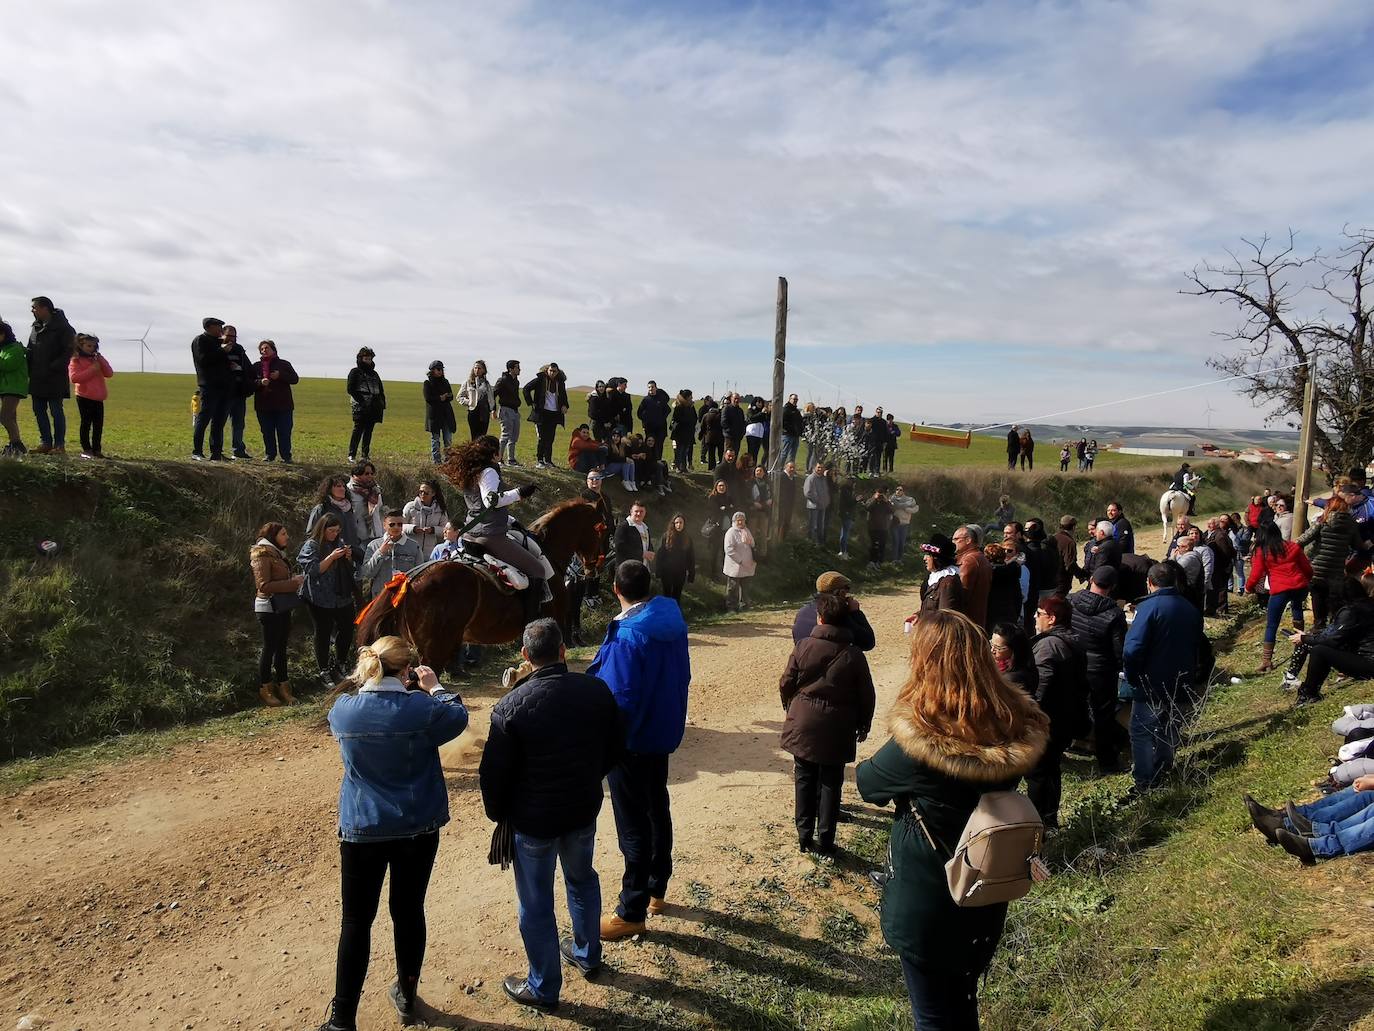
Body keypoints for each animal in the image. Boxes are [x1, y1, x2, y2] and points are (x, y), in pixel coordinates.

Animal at [354, 497, 607, 670]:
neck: (547, 550)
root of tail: (410, 579)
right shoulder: (554, 623)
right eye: (601, 529)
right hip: (434, 650)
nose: (595, 566)